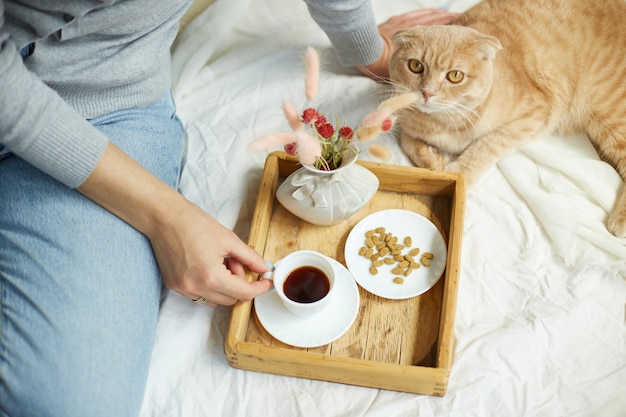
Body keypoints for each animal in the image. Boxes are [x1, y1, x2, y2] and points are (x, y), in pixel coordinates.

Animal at [388, 0, 624, 236]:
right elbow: (406, 139)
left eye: (455, 76)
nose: (427, 93)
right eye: (416, 66)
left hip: (609, 114)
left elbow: (484, 146)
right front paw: (431, 160)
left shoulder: (534, 114)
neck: (442, 123)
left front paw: (458, 174)